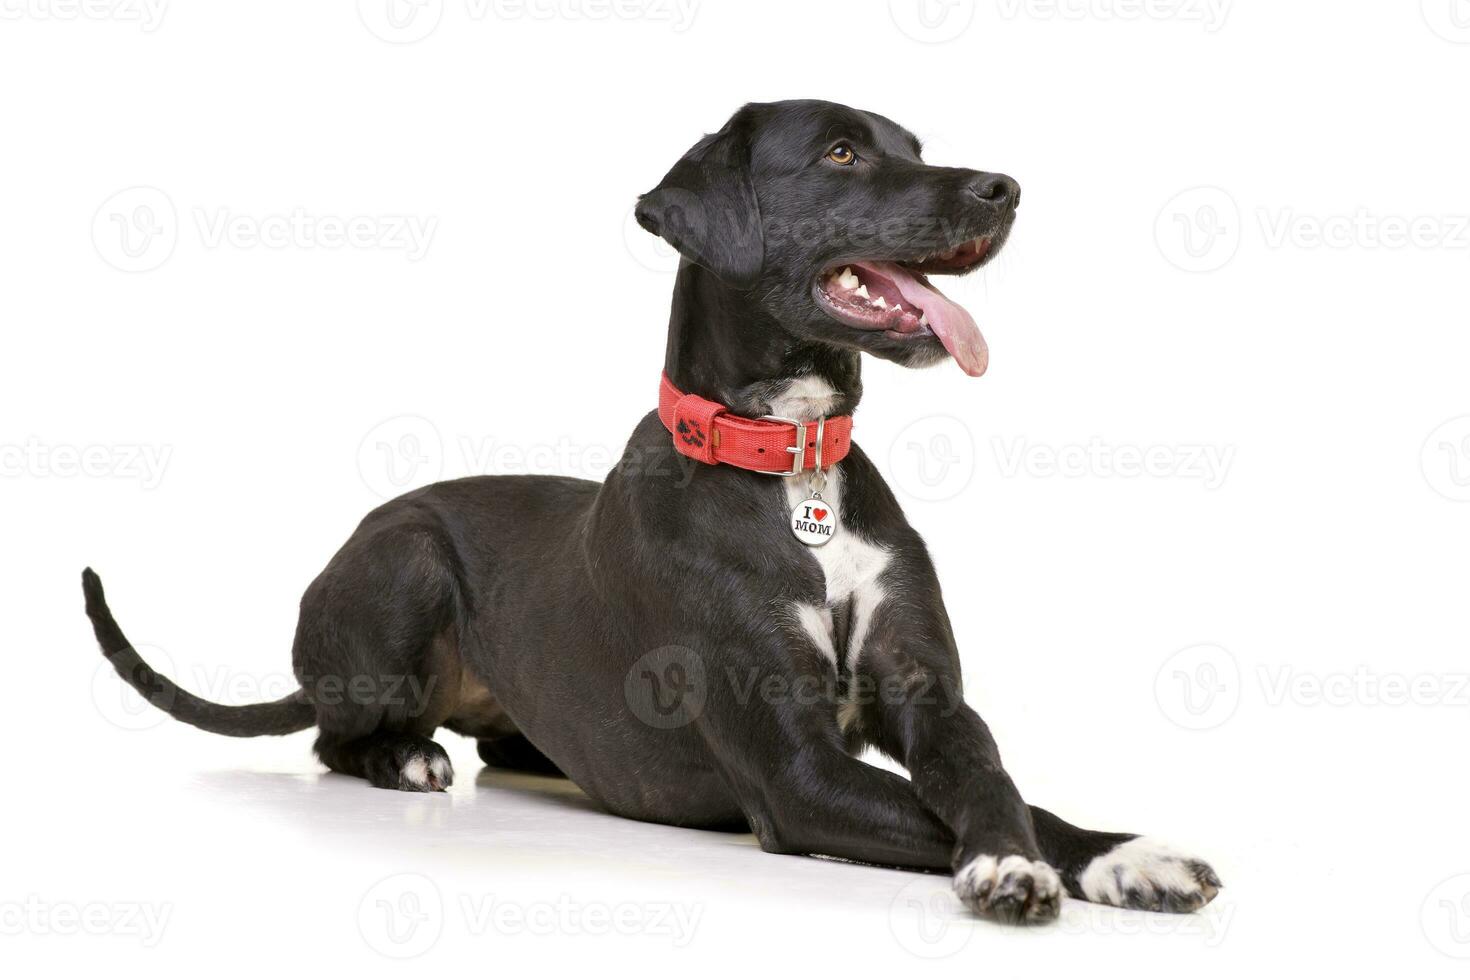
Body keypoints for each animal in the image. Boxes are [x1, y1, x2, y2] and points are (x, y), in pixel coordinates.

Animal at [85, 99, 1223, 928]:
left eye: (915, 148)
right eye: (843, 152)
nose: (1006, 187)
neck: (790, 463)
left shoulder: (929, 698)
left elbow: (1002, 784)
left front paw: (1121, 857)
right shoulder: (797, 775)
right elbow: (956, 805)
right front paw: (1007, 870)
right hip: (401, 559)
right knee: (334, 735)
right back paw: (403, 756)